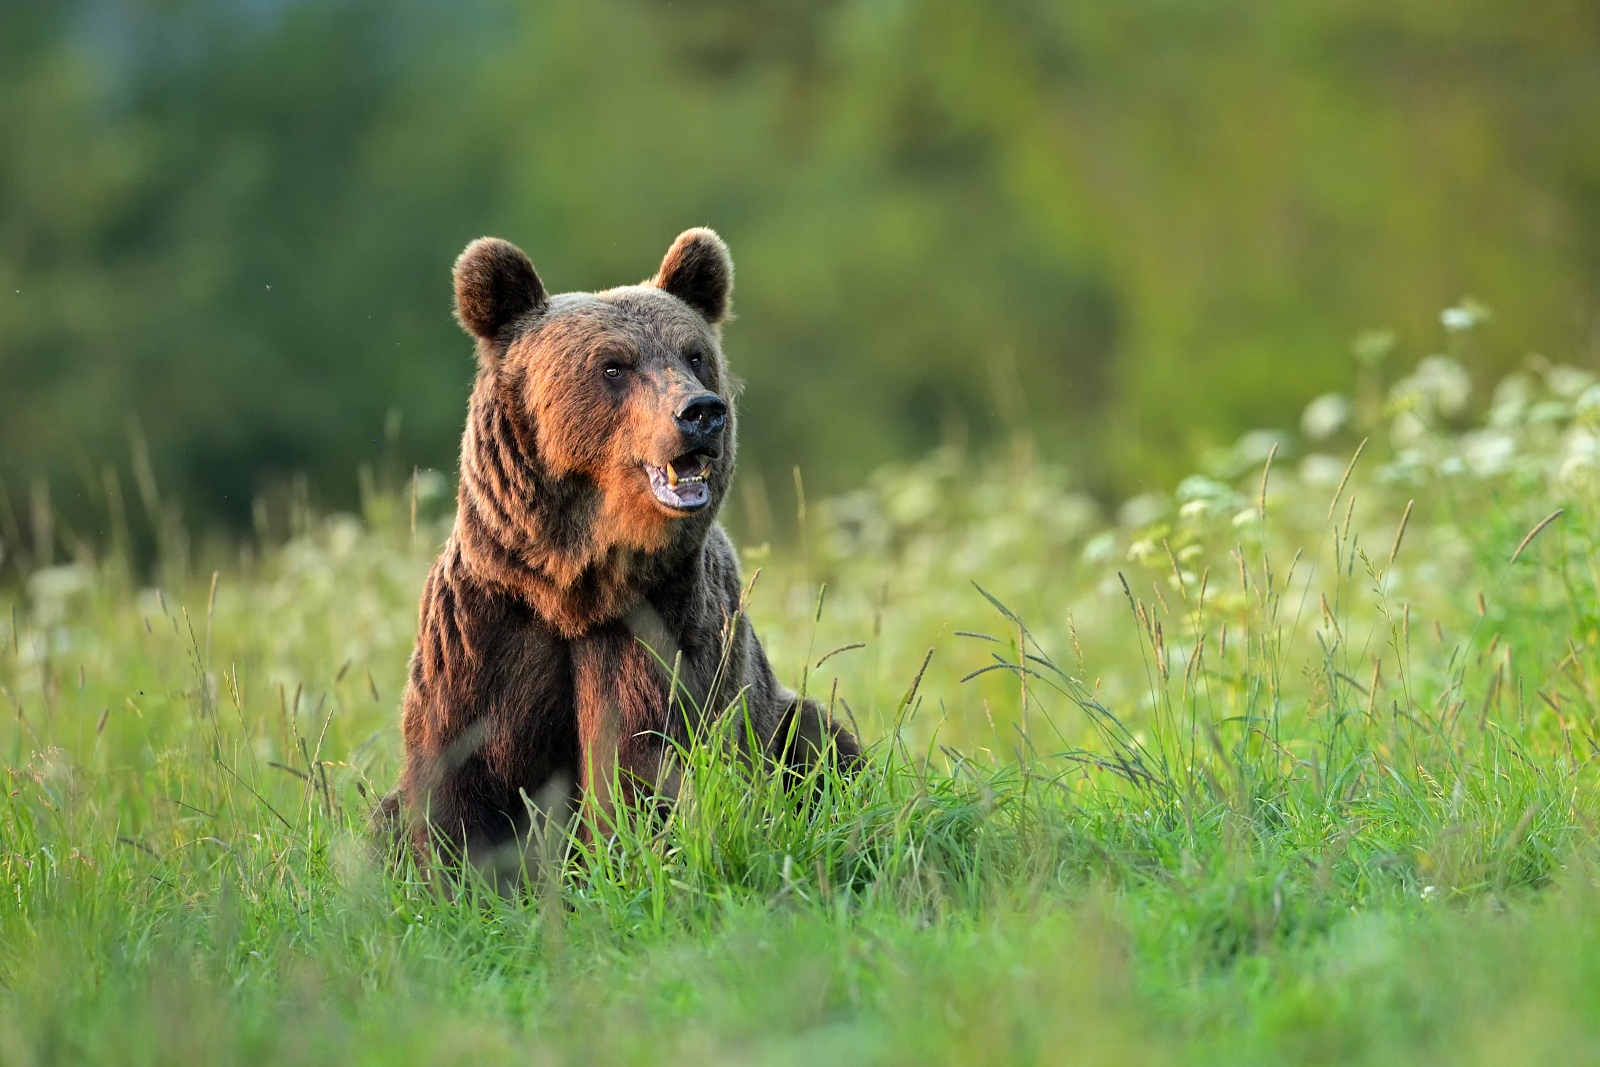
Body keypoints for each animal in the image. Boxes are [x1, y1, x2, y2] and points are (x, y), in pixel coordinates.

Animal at [383, 228, 859, 885]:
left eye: (693, 354)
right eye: (614, 365)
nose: (701, 412)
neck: (573, 585)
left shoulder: (662, 626)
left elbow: (644, 761)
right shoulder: (485, 627)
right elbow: (462, 772)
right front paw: (467, 880)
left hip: (783, 726)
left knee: (823, 743)